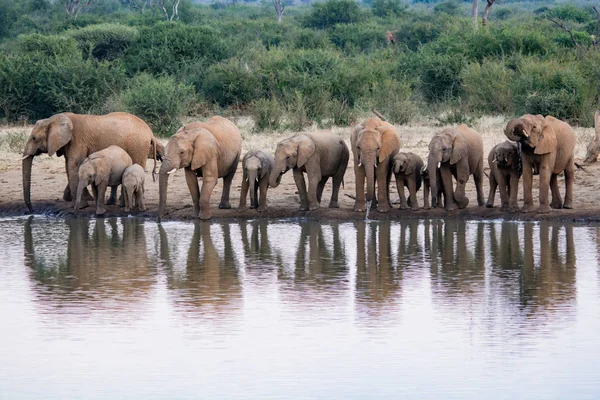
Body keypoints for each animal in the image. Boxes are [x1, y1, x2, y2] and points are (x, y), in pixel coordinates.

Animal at [22, 112, 162, 212]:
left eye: (34, 138)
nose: (31, 211)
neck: (53, 119)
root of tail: (150, 132)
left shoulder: (77, 140)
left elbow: (74, 165)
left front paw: (80, 206)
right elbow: (69, 166)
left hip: (137, 146)